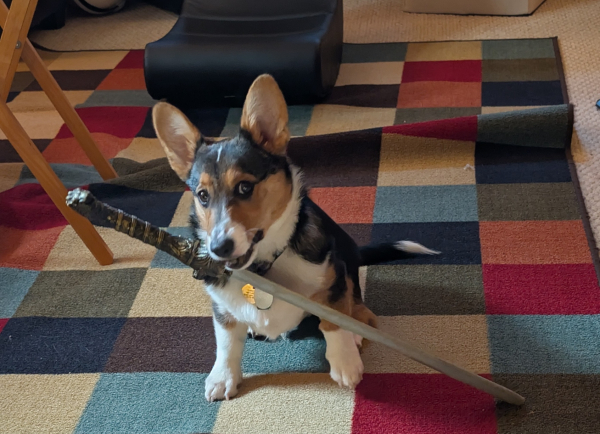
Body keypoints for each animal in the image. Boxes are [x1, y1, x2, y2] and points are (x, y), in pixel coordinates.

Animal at [152, 73, 438, 400]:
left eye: (245, 187)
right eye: (202, 196)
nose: (219, 248)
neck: (262, 270)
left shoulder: (332, 277)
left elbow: (333, 321)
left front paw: (345, 363)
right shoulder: (221, 306)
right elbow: (226, 342)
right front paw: (223, 378)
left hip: (346, 255)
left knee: (356, 299)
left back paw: (357, 330)